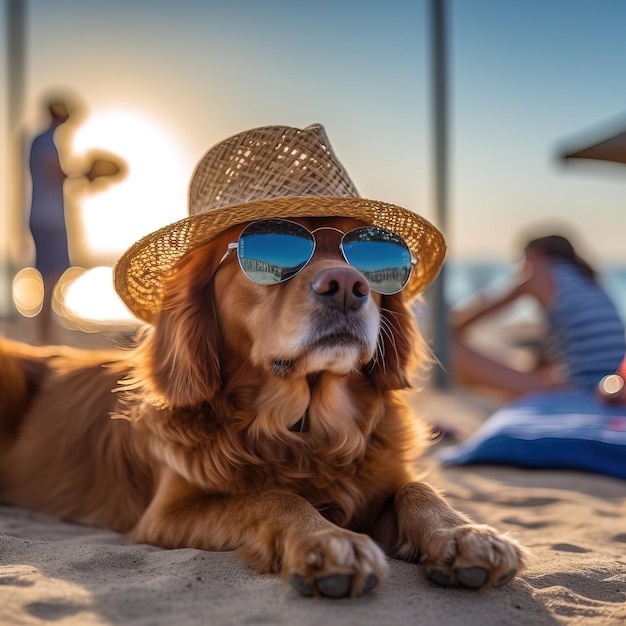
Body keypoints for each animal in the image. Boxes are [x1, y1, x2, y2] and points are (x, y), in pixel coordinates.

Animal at [0, 216, 528, 600]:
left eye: (368, 253)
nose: (347, 284)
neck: (303, 430)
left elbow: (417, 487)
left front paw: (465, 534)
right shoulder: (166, 514)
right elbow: (273, 497)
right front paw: (326, 541)